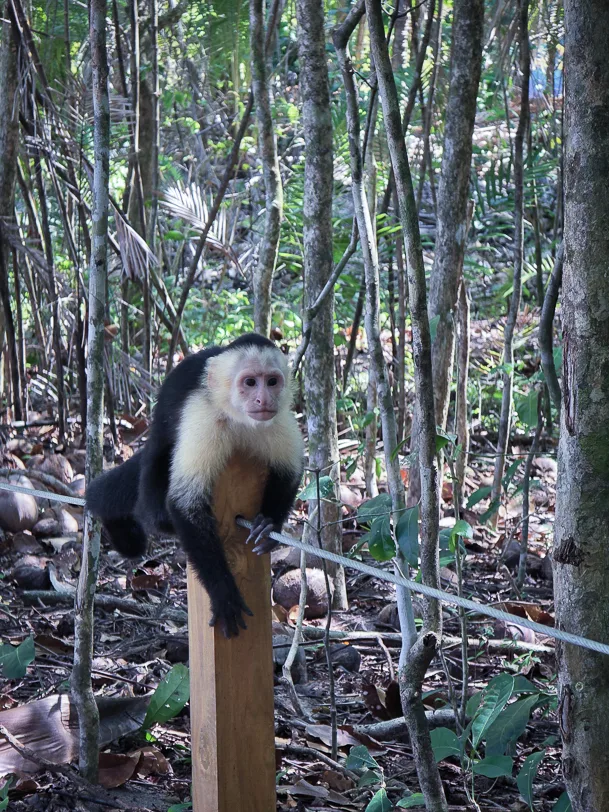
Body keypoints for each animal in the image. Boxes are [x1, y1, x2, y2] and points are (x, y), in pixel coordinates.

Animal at [86, 333, 304, 638]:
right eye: (250, 382)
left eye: (272, 381)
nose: (263, 398)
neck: (239, 419)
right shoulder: (204, 418)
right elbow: (184, 503)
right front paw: (223, 592)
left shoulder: (279, 418)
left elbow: (290, 471)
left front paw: (268, 523)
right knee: (157, 472)